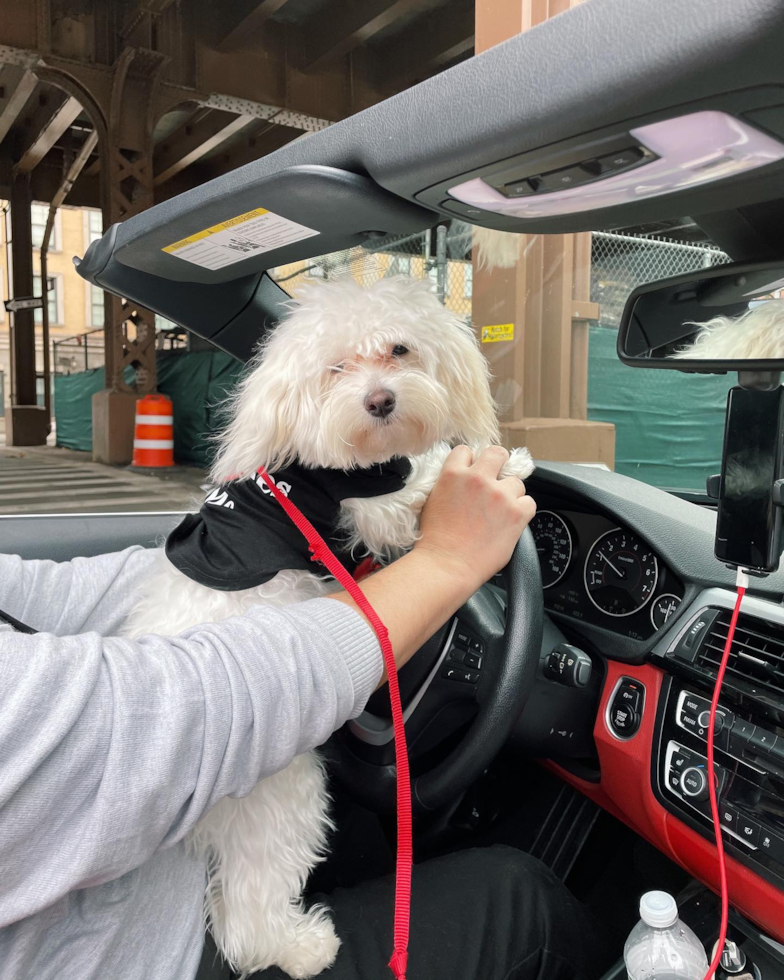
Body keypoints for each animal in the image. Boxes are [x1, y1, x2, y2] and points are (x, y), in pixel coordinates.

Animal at [122, 276, 536, 980]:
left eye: (399, 349)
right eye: (334, 368)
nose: (380, 400)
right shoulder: (373, 500)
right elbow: (424, 482)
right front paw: (502, 467)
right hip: (284, 795)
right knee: (248, 913)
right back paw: (302, 947)